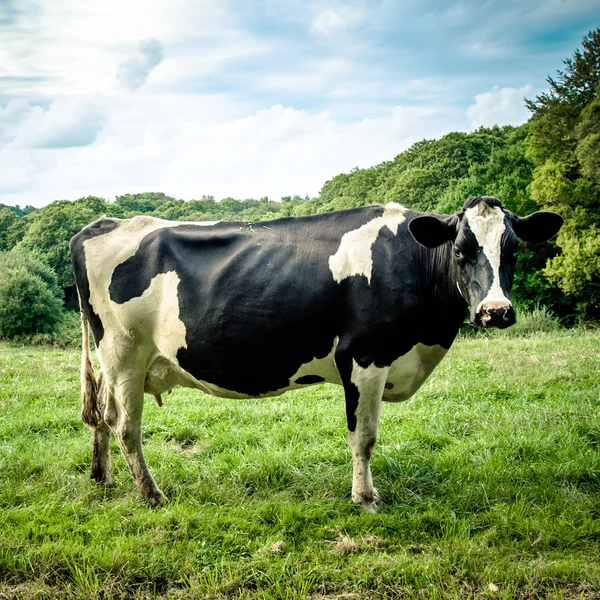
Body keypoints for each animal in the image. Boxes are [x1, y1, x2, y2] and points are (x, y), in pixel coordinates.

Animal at [69, 197, 564, 510]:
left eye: (513, 250)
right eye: (461, 250)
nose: (496, 311)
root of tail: (102, 224)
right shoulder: (364, 358)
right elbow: (364, 437)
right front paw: (365, 499)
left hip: (116, 361)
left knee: (102, 416)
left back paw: (103, 478)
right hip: (124, 351)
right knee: (125, 426)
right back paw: (151, 495)